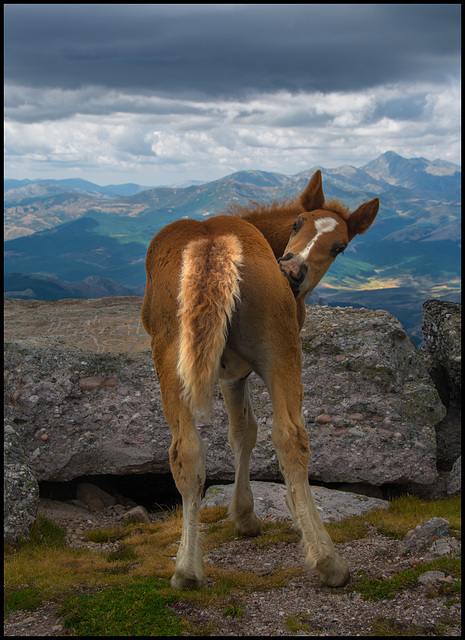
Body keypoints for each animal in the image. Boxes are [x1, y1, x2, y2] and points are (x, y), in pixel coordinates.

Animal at [141, 170, 376, 592]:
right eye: (298, 223)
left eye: (340, 247)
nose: (293, 270)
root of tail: (213, 246)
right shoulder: (235, 372)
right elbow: (245, 431)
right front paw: (247, 514)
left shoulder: (231, 373)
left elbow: (242, 432)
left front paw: (245, 515)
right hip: (274, 350)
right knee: (282, 438)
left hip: (185, 358)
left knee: (197, 450)